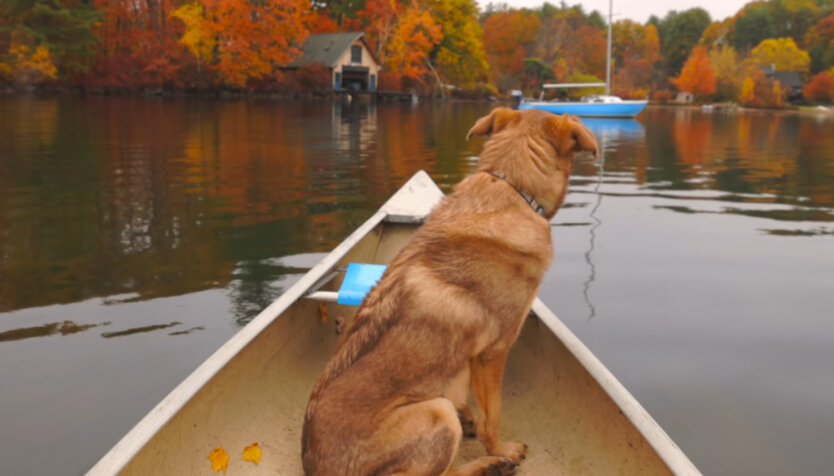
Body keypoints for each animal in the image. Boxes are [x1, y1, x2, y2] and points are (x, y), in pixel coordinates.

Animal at [302, 109, 596, 476]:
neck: (509, 185)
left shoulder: (469, 358)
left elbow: (470, 398)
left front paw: (471, 417)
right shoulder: (494, 352)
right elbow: (493, 417)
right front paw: (502, 448)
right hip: (437, 414)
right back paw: (491, 463)